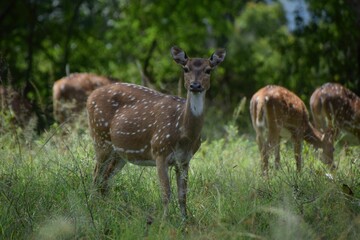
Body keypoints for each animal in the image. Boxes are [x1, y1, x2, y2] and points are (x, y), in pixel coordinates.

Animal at [86, 46, 225, 219]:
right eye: (185, 68)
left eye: (208, 70)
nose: (195, 85)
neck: (184, 134)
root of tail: (90, 97)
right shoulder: (160, 151)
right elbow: (166, 194)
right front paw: (164, 221)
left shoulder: (185, 160)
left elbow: (183, 195)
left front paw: (184, 220)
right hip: (100, 138)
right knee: (95, 176)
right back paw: (93, 209)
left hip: (119, 153)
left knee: (104, 180)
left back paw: (106, 210)